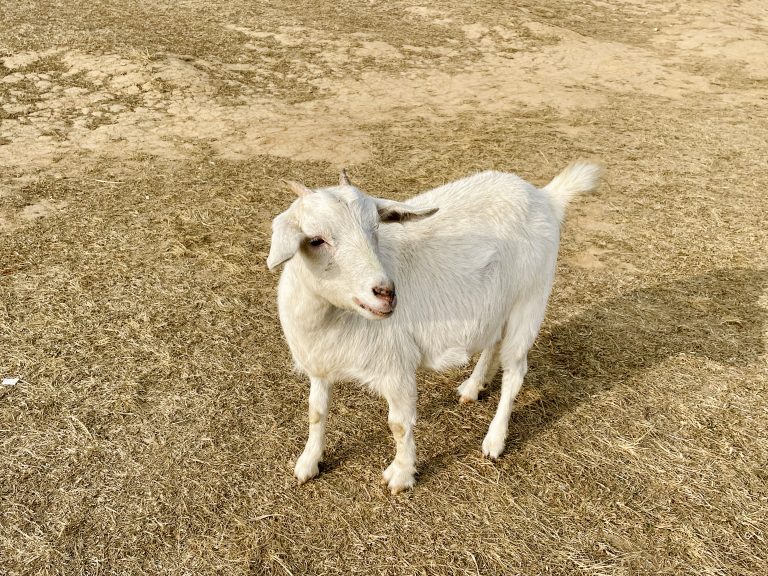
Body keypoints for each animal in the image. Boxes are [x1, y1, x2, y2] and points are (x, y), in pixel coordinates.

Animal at [267, 162, 601, 493]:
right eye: (316, 240)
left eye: (375, 229)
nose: (386, 293)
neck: (330, 318)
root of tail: (546, 197)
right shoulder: (319, 364)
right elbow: (316, 411)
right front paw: (308, 463)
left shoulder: (397, 366)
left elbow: (398, 424)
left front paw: (401, 475)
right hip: (497, 305)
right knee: (493, 344)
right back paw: (473, 386)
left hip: (529, 301)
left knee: (515, 371)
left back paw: (494, 440)